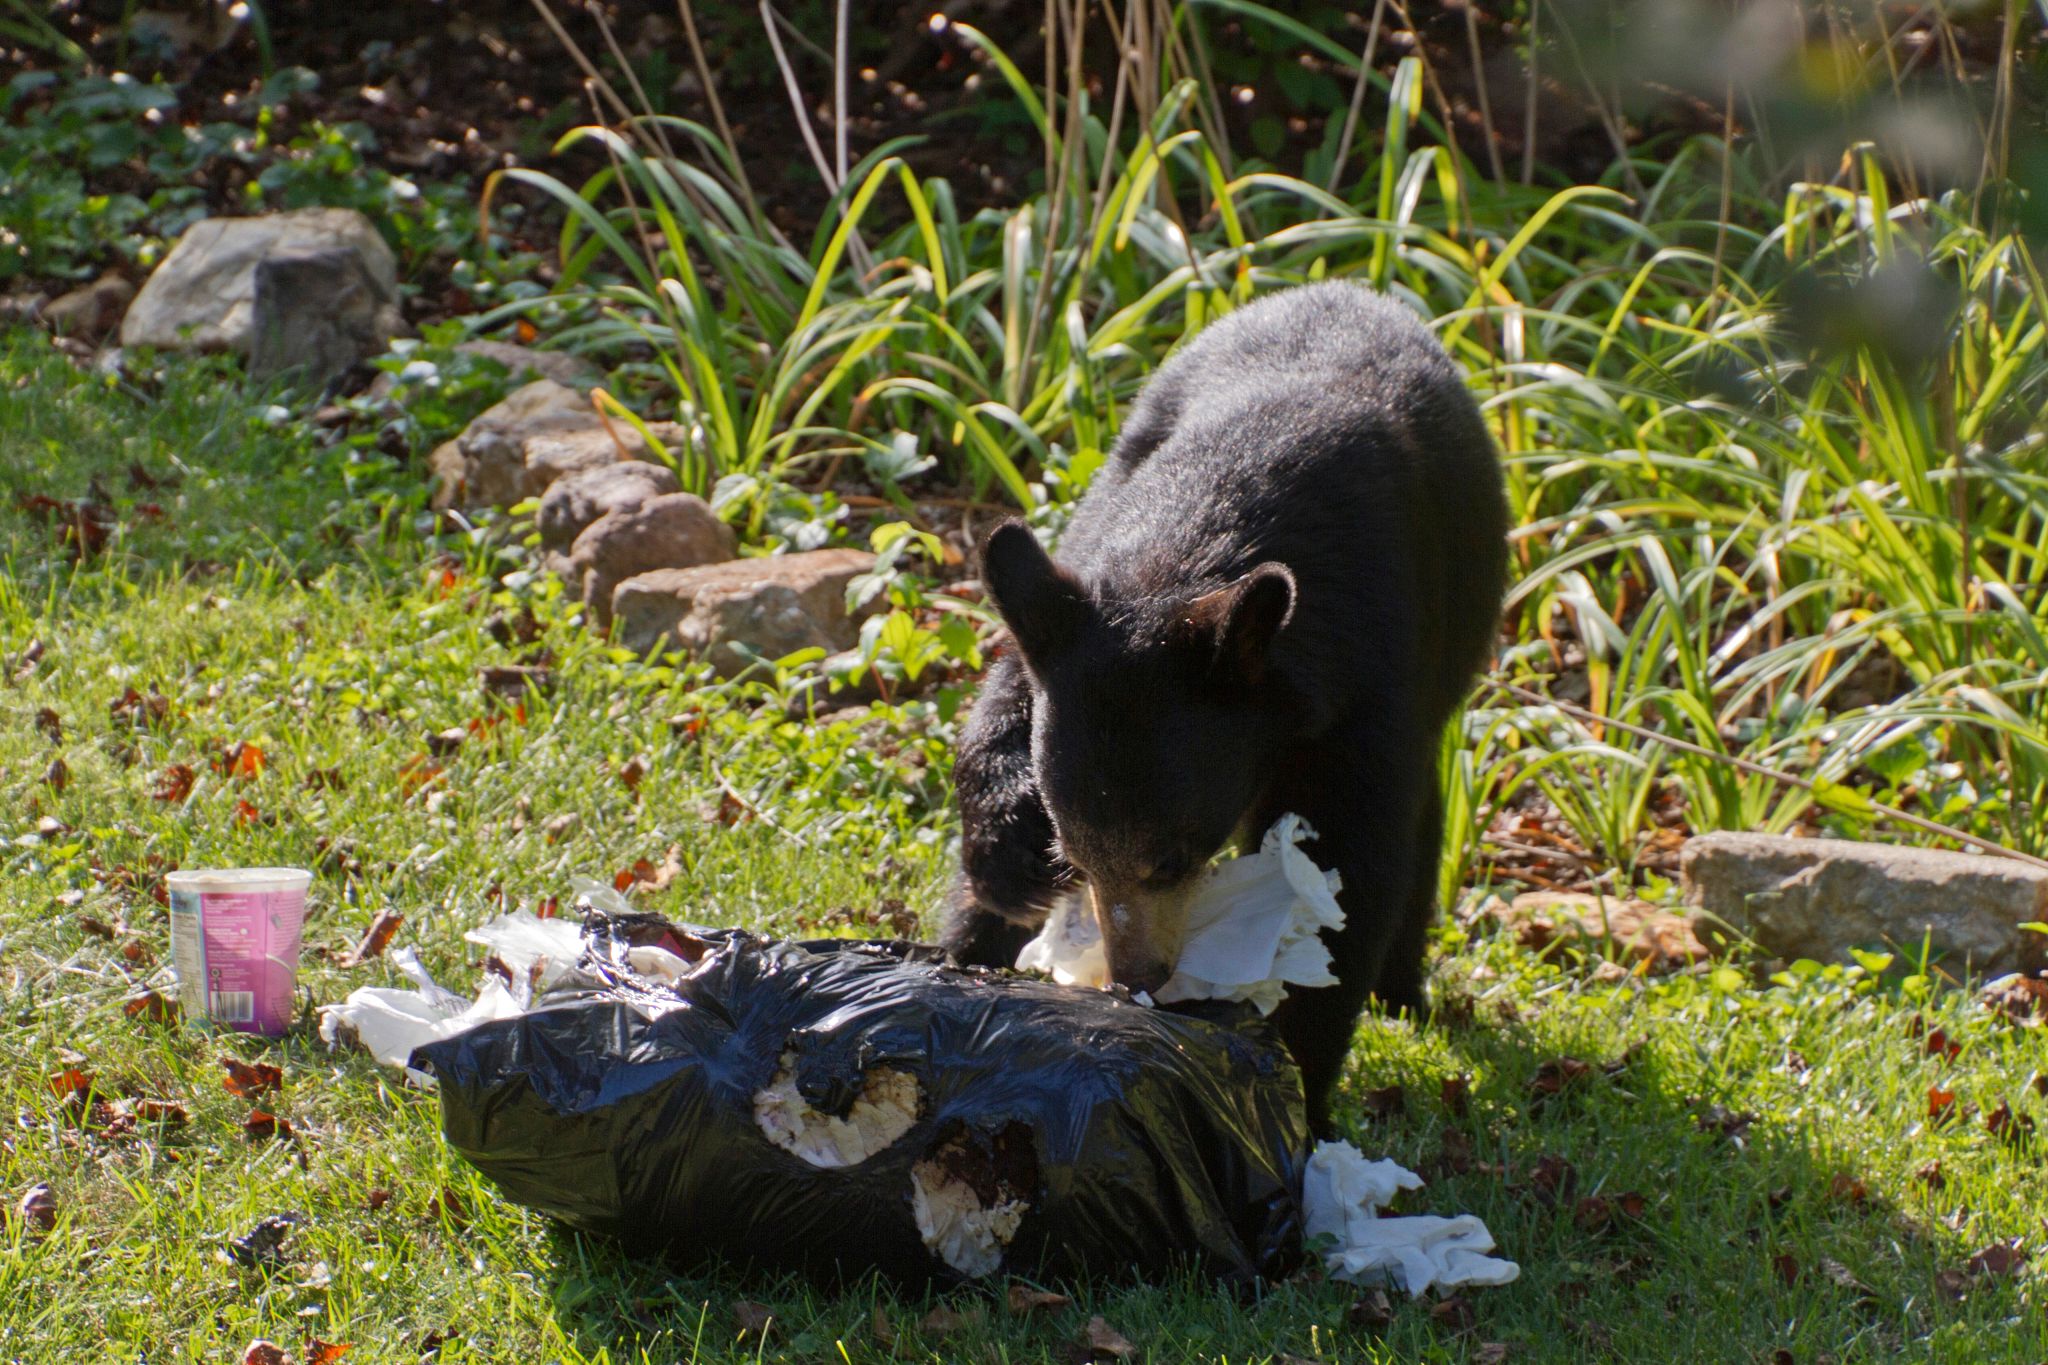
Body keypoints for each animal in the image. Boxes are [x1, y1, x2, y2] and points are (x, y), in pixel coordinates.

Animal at [937, 280, 1507, 1129]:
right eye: (1074, 856)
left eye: (1172, 859)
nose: (1136, 975)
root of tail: (1345, 287)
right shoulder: (1077, 587)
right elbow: (1004, 698)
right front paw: (1004, 860)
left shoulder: (1368, 673)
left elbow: (1350, 867)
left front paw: (1296, 1079)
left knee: (1421, 822)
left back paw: (1404, 989)